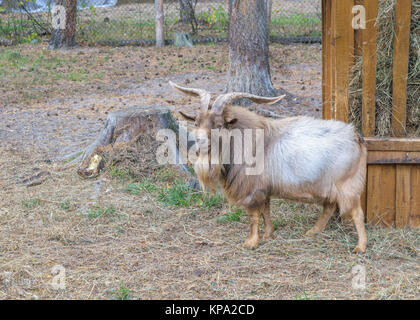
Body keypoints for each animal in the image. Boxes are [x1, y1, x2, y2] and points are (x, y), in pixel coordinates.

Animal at [170, 81, 368, 254]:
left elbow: (254, 216)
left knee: (356, 213)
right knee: (329, 207)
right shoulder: (263, 188)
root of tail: (355, 136)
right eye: (196, 122)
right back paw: (312, 232)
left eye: (219, 125)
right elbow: (266, 211)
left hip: (347, 184)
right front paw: (268, 235)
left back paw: (360, 247)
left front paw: (251, 243)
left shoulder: (252, 189)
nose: (200, 142)